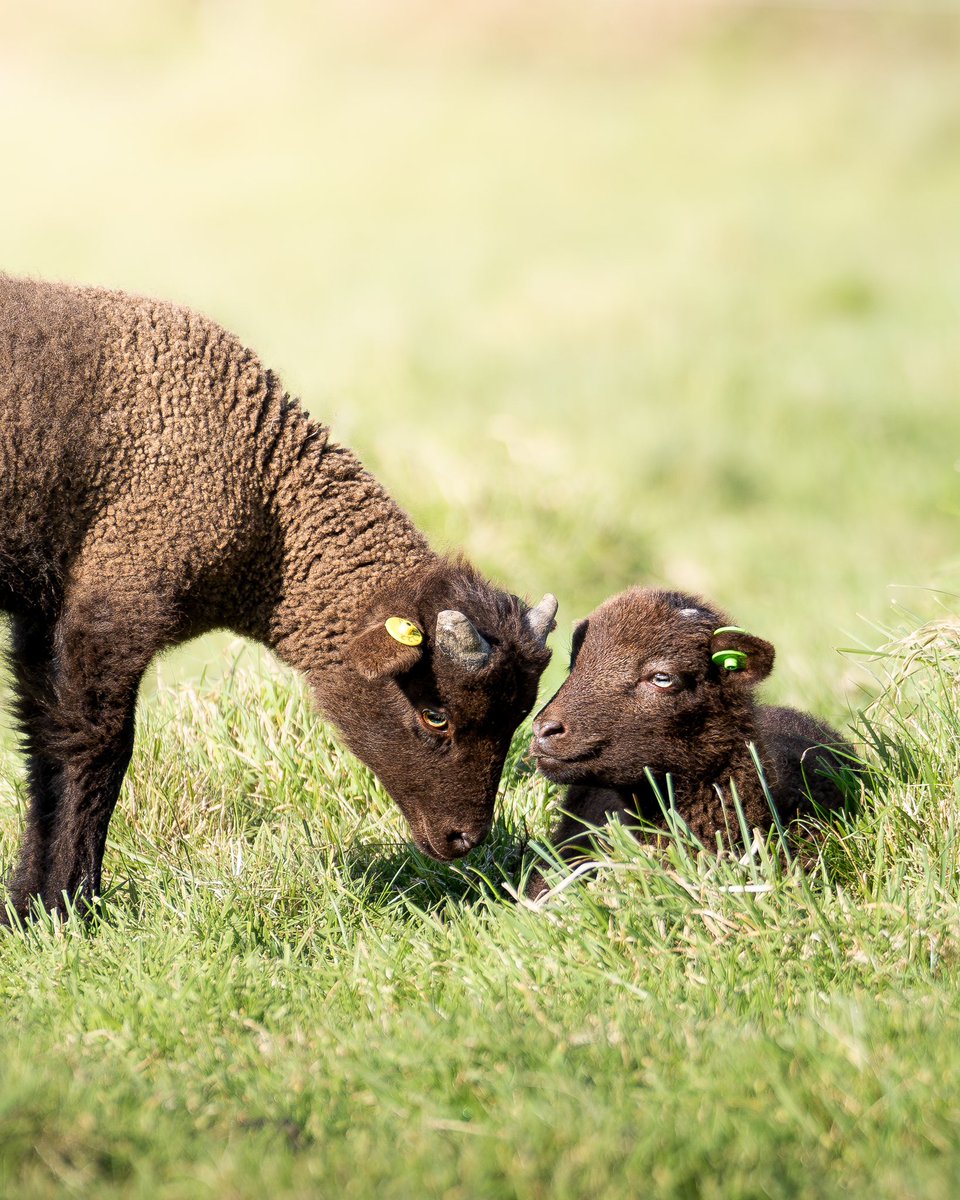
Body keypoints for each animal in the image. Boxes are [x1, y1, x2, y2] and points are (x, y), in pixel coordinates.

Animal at [0, 278, 559, 916]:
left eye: (517, 718)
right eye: (434, 715)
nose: (465, 840)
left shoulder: (46, 613)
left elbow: (41, 739)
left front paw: (28, 903)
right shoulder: (119, 592)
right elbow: (91, 745)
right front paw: (61, 905)